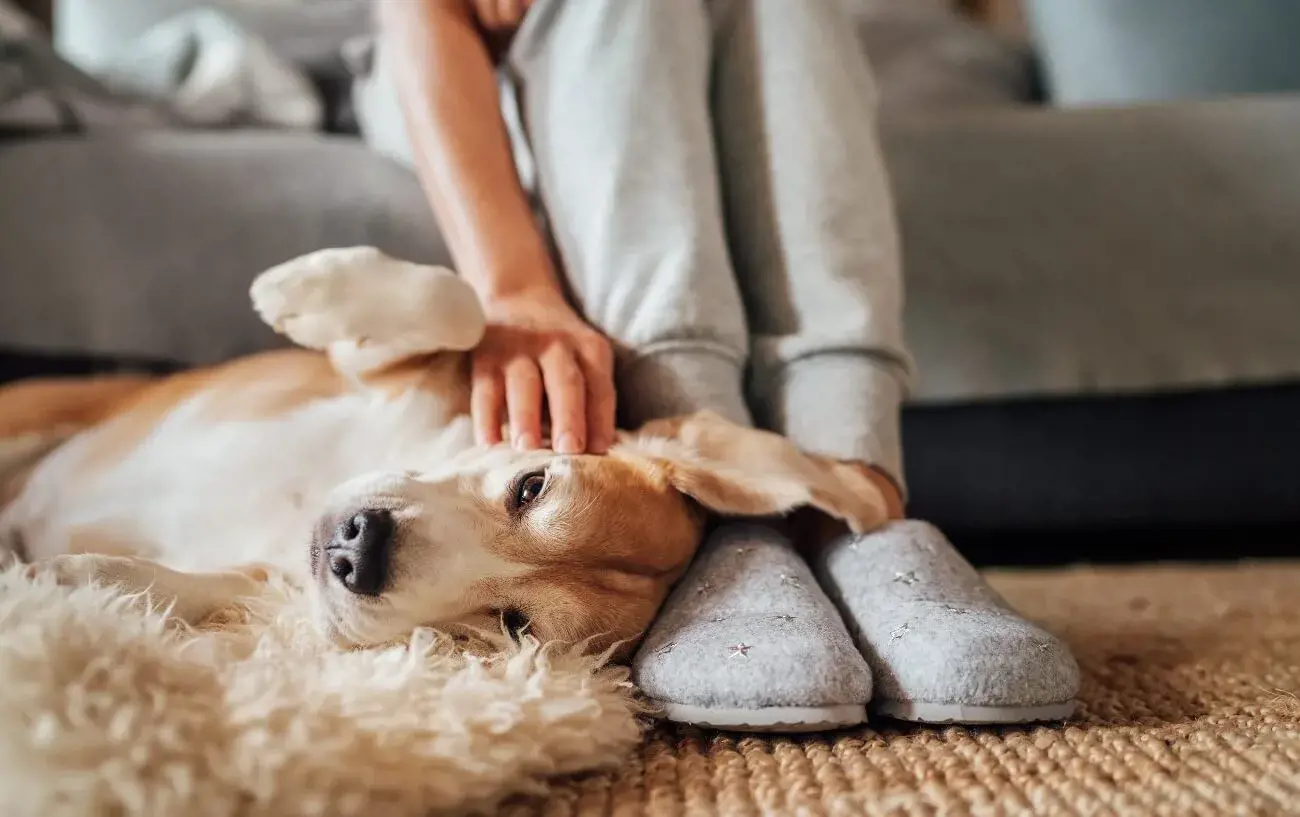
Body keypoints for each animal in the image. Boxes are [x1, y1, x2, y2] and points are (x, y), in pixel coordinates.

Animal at [0, 248, 889, 658]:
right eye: (531, 485)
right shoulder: (390, 373)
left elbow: (211, 586)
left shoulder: (273, 582)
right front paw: (304, 291)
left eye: (513, 623)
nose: (359, 548)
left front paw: (77, 582)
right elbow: (457, 305)